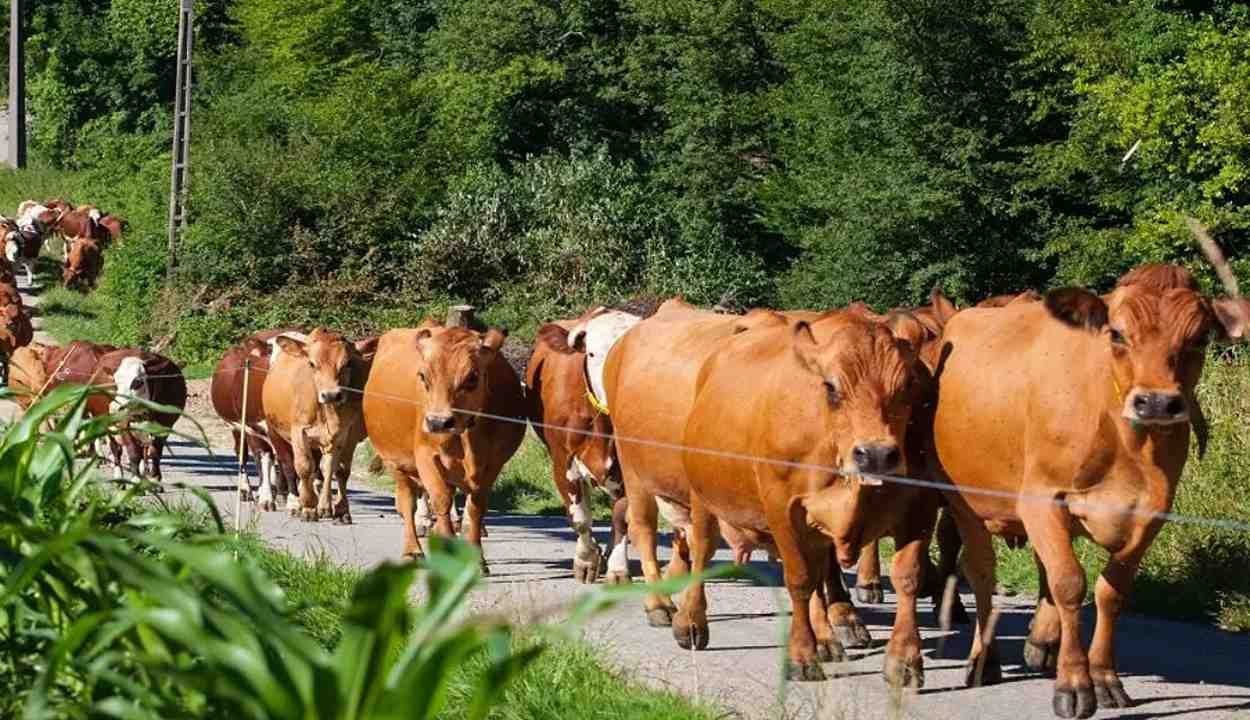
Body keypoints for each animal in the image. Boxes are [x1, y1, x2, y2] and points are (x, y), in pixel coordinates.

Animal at [89, 348, 187, 482]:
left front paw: (154, 478)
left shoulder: (165, 426)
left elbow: (155, 452)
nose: (115, 407)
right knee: (116, 449)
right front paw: (135, 479)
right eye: (115, 382)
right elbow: (134, 453)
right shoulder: (123, 424)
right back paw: (119, 476)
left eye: (137, 382)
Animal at [210, 328, 303, 511]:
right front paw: (270, 499)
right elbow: (271, 459)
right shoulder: (254, 426)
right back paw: (248, 490)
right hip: (238, 427)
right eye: (272, 354)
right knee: (244, 454)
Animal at [263, 329, 375, 523]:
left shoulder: (342, 434)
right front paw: (308, 507)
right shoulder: (299, 431)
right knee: (290, 464)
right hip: (274, 430)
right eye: (312, 364)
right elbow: (304, 467)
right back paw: (296, 503)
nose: (331, 395)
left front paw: (329, 507)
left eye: (347, 363)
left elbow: (332, 468)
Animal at [363, 321, 526, 565]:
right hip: (395, 461)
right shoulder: (425, 457)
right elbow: (441, 500)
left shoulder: (494, 464)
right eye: (423, 376)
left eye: (472, 377)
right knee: (407, 502)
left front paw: (478, 560)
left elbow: (476, 507)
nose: (438, 422)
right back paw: (413, 549)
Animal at [930, 264, 1250, 718]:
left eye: (1201, 337)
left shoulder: (1152, 512)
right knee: (981, 573)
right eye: (1116, 333)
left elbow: (1110, 591)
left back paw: (1041, 644)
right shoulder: (1041, 498)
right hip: (965, 502)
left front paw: (1103, 678)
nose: (1157, 403)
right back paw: (983, 660)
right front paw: (1075, 684)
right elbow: (1069, 583)